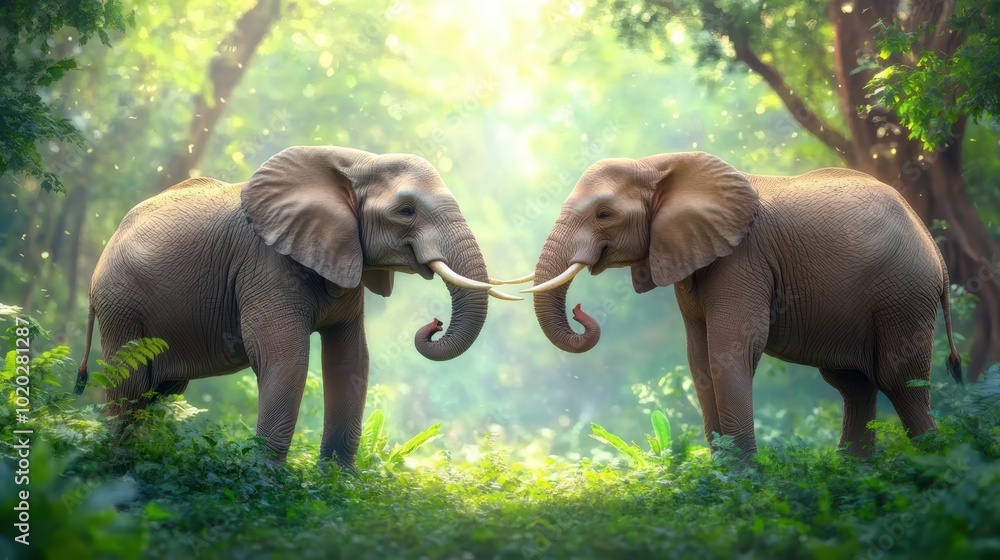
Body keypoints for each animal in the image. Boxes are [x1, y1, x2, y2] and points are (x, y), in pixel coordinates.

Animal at [74, 145, 520, 467]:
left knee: (161, 392)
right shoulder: (265, 263)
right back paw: (120, 468)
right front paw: (265, 483)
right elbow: (285, 357)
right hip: (120, 305)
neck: (357, 161)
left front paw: (338, 484)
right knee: (131, 384)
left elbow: (350, 360)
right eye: (406, 211)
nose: (434, 323)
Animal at [524, 151, 963, 458]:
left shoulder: (742, 260)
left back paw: (938, 469)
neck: (657, 163)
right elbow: (699, 359)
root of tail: (934, 247)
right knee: (854, 384)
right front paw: (724, 475)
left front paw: (744, 482)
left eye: (604, 214)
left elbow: (731, 350)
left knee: (898, 379)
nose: (580, 311)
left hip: (904, 293)